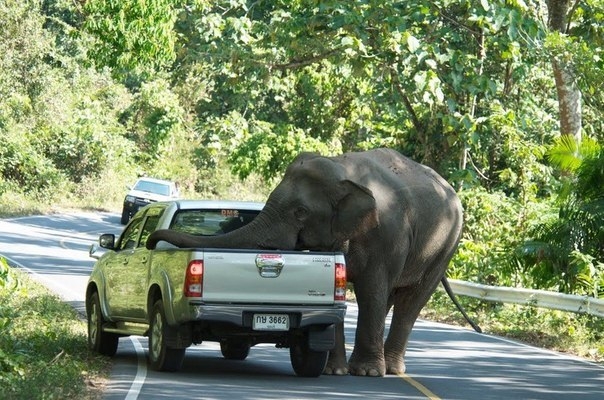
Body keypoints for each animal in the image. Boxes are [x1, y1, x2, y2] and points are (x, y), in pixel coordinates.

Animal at [147, 148, 482, 376]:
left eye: (300, 212)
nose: (151, 241)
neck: (342, 167)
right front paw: (333, 371)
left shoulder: (386, 236)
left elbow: (372, 289)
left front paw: (365, 373)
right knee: (389, 301)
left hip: (446, 245)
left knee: (409, 300)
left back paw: (389, 371)